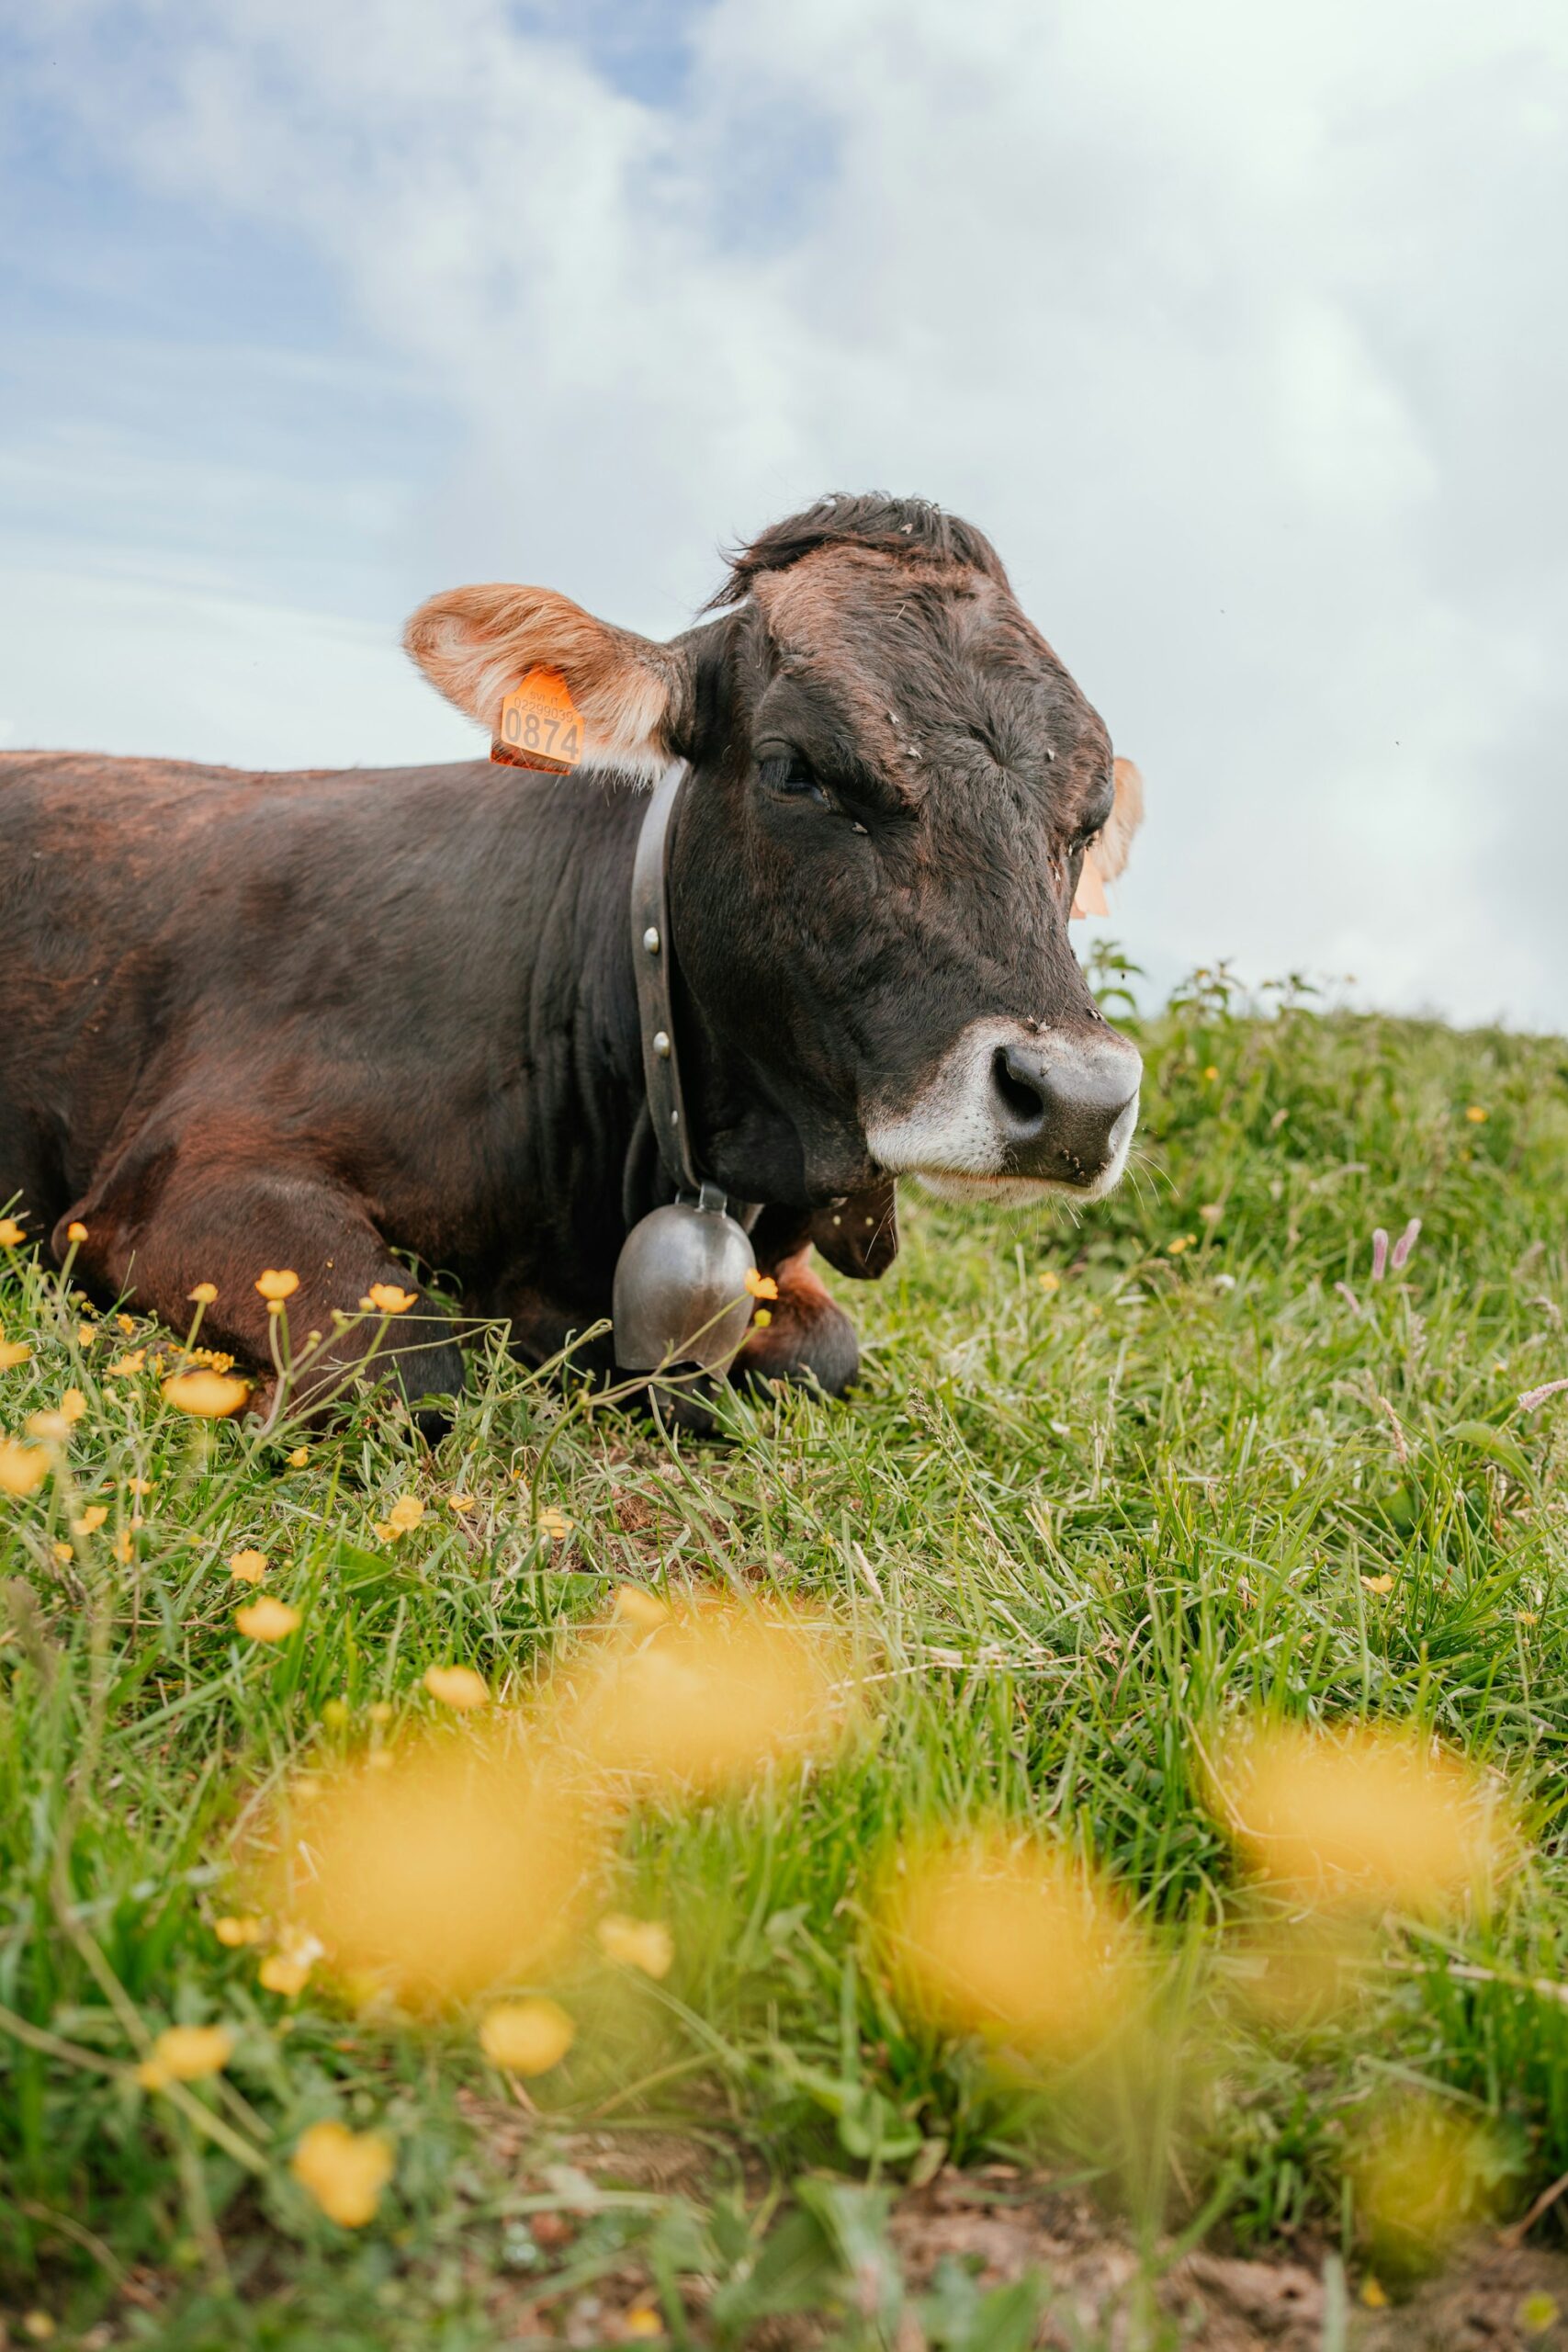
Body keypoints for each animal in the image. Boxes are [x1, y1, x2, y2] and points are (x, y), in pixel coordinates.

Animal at [0, 494, 1144, 1433]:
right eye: (796, 769)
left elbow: (826, 1350)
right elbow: (411, 1360)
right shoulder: (188, 1170)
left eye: (1087, 819)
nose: (1078, 1098)